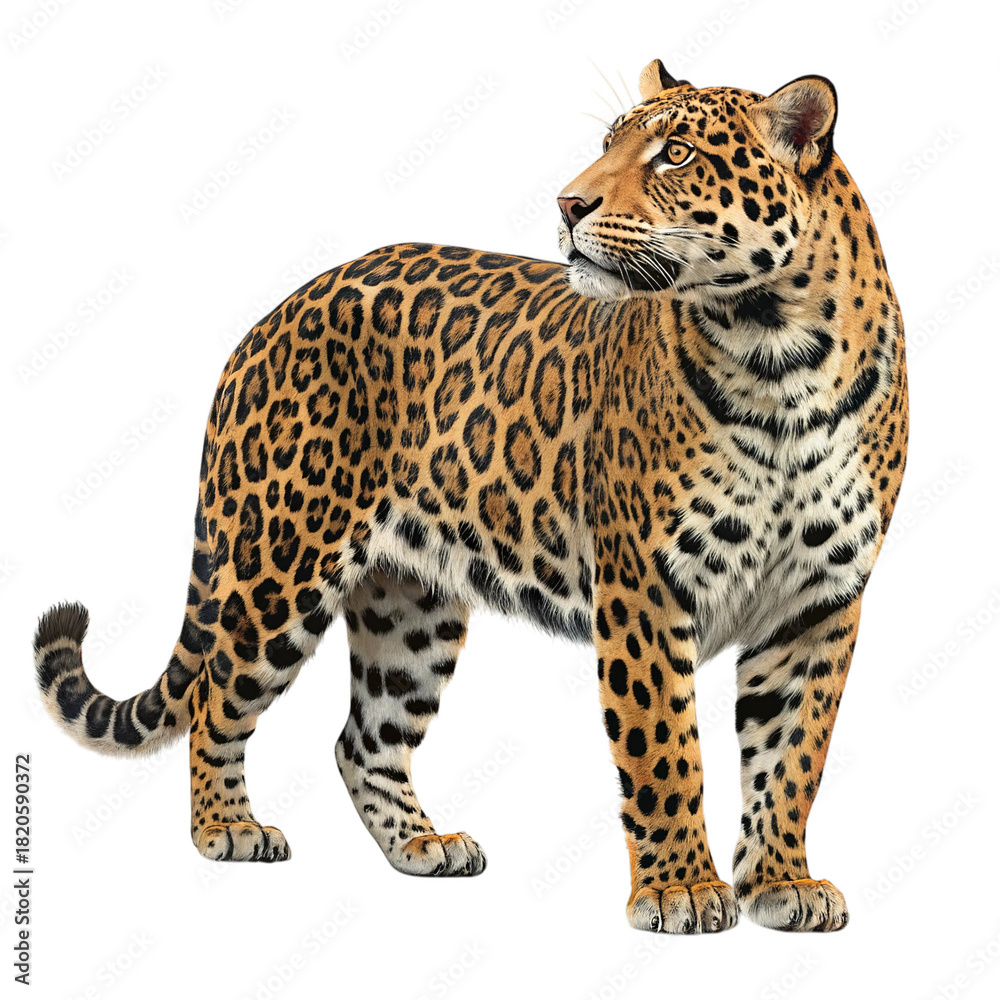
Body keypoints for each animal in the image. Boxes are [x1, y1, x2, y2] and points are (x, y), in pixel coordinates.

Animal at [34, 60, 908, 934]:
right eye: (610, 143)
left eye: (677, 154)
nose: (568, 204)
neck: (778, 353)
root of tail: (269, 319)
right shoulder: (646, 591)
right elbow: (665, 752)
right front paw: (681, 890)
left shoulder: (818, 603)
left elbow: (792, 756)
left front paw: (782, 882)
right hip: (279, 564)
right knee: (217, 695)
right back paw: (228, 828)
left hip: (409, 606)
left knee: (363, 740)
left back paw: (423, 847)